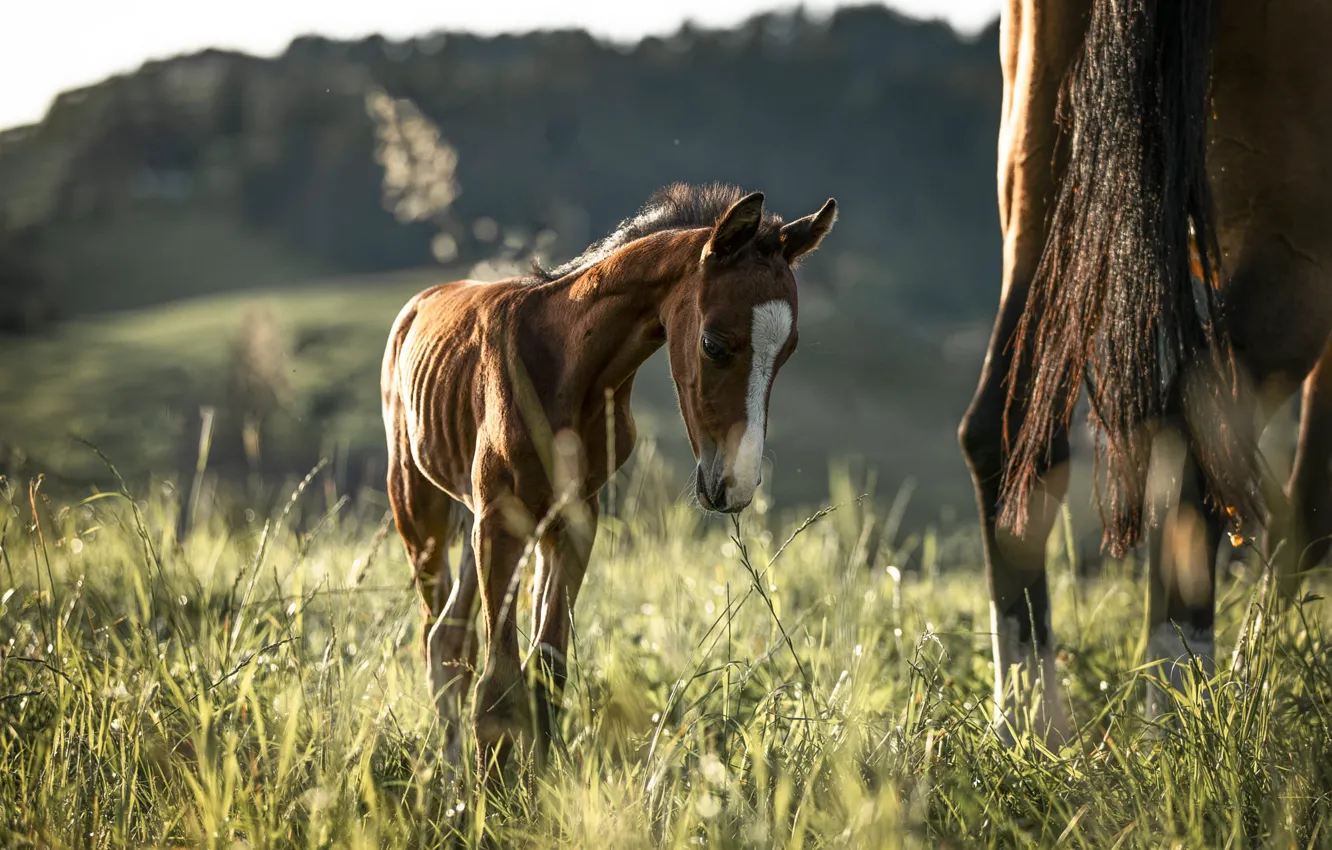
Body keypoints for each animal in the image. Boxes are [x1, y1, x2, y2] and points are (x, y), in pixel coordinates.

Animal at [381, 183, 837, 778]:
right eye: (714, 344)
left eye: (787, 352)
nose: (735, 485)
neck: (568, 365)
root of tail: (418, 304)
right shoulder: (502, 519)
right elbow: (499, 686)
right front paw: (493, 796)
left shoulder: (574, 519)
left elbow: (547, 671)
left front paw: (540, 788)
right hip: (423, 512)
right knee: (437, 636)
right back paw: (453, 775)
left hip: (479, 516)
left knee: (450, 638)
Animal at [959, 0, 1332, 746]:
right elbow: (1310, 510)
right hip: (1302, 236)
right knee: (1208, 437)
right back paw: (1185, 720)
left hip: (1038, 158)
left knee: (1005, 431)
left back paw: (1032, 722)